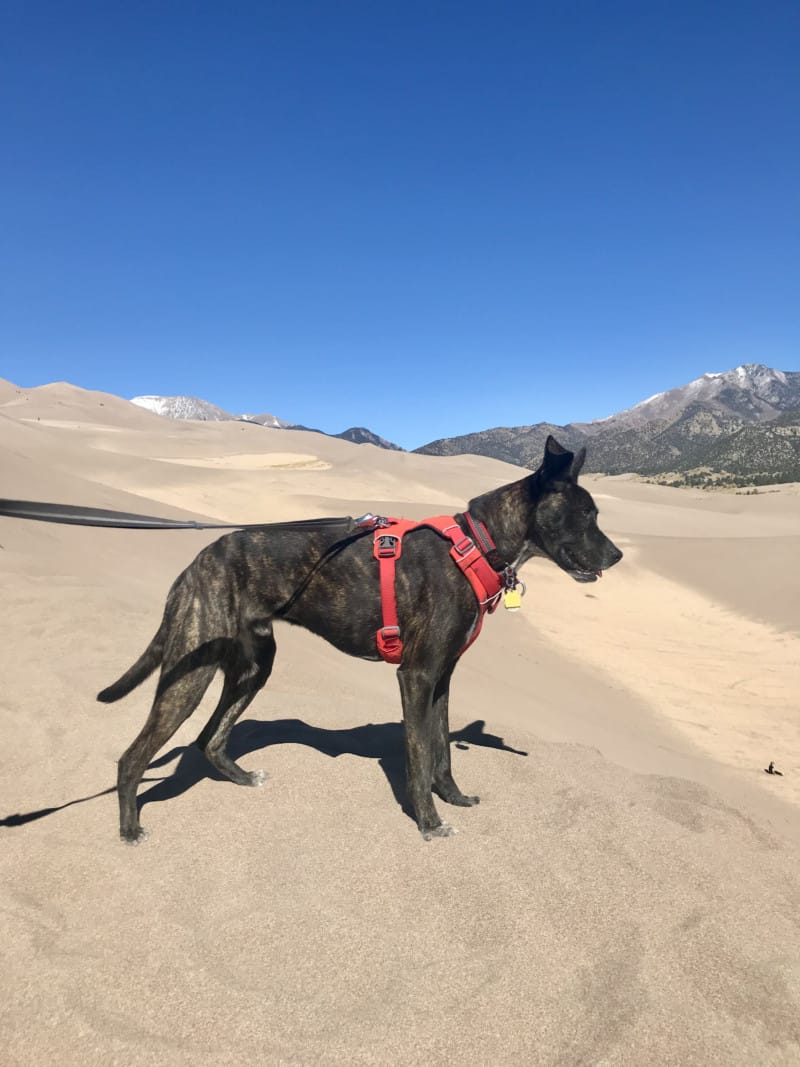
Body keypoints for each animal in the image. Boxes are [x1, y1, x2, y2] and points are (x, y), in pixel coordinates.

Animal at [98, 435, 627, 840]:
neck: (476, 545)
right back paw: (129, 828)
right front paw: (429, 822)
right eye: (585, 514)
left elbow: (441, 752)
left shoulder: (442, 678)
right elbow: (419, 756)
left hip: (254, 665)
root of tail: (195, 563)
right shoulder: (416, 676)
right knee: (132, 756)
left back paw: (242, 777)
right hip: (192, 671)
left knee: (209, 738)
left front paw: (453, 799)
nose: (619, 556)